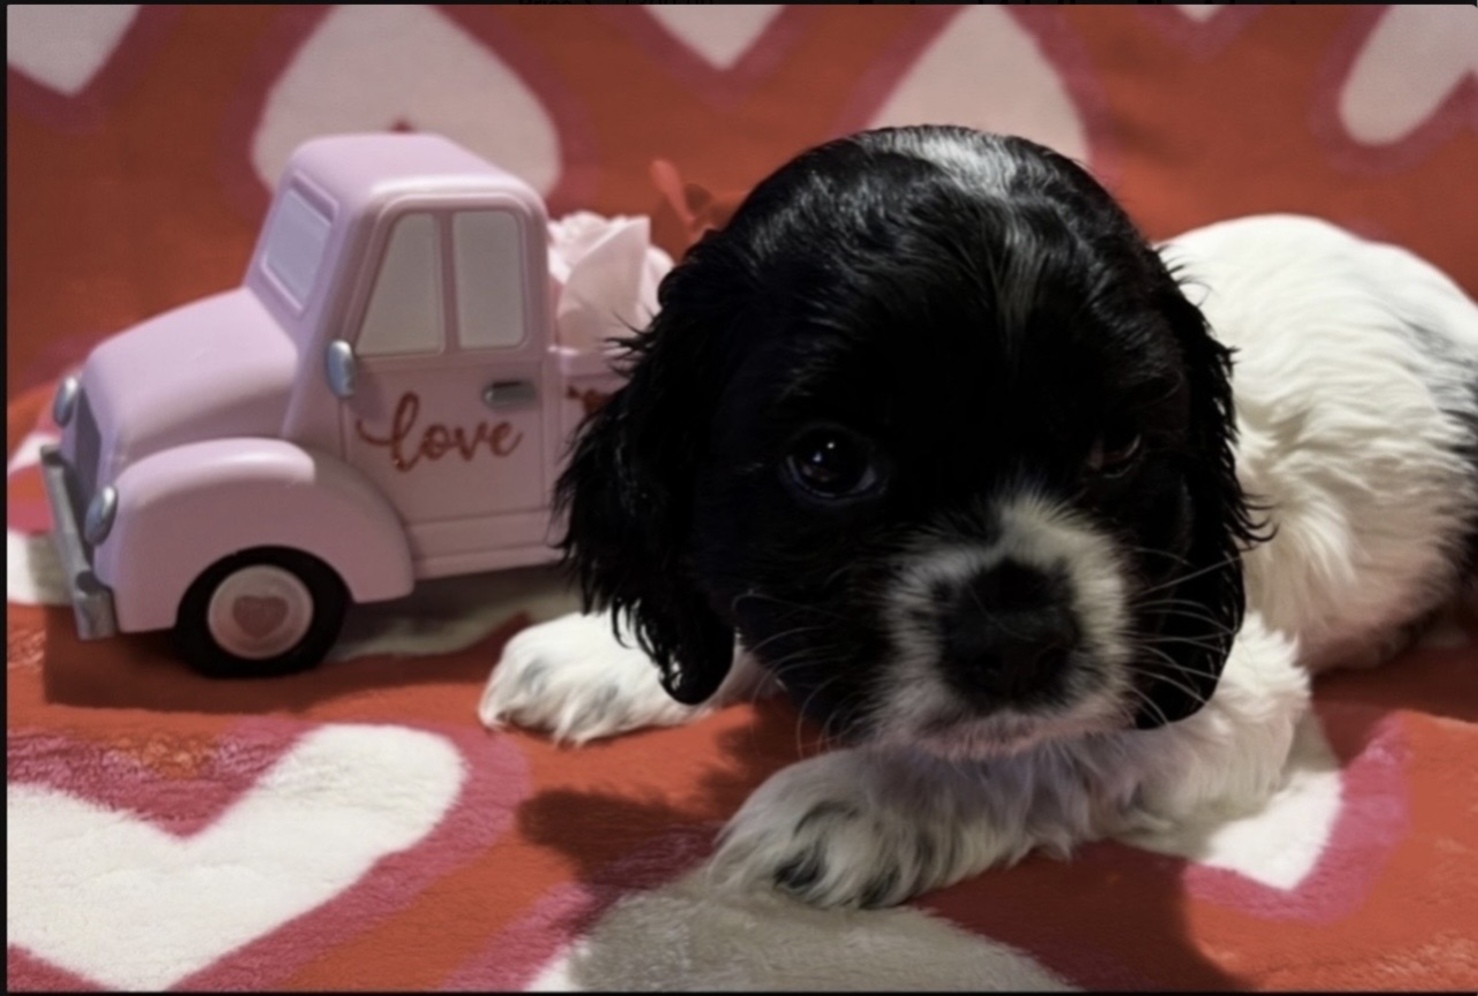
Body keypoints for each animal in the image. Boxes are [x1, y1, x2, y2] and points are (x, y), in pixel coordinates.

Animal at [480, 125, 1478, 909]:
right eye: (829, 459)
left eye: (1119, 446)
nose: (1020, 642)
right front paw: (594, 655)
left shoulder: (1218, 672)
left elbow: (1045, 747)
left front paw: (871, 797)